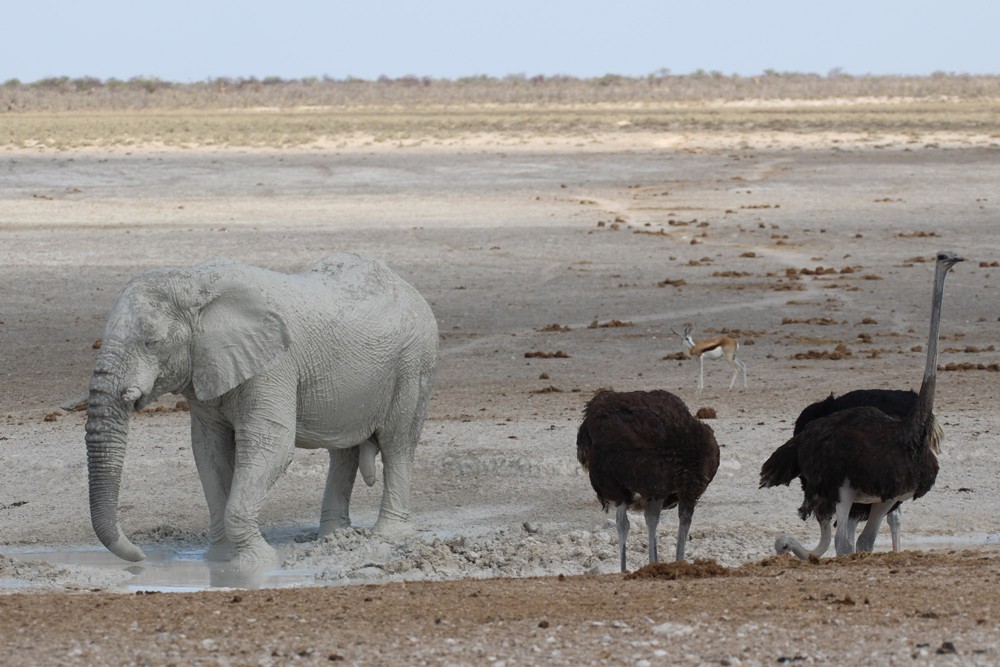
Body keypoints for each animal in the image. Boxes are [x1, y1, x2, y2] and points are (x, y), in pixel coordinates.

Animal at [88, 253, 440, 568]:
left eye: (152, 342)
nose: (140, 556)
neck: (193, 281)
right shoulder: (207, 369)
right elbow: (209, 452)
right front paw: (218, 560)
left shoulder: (274, 365)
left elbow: (271, 446)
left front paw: (257, 563)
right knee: (343, 453)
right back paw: (333, 537)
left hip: (414, 362)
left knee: (397, 443)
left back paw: (388, 537)